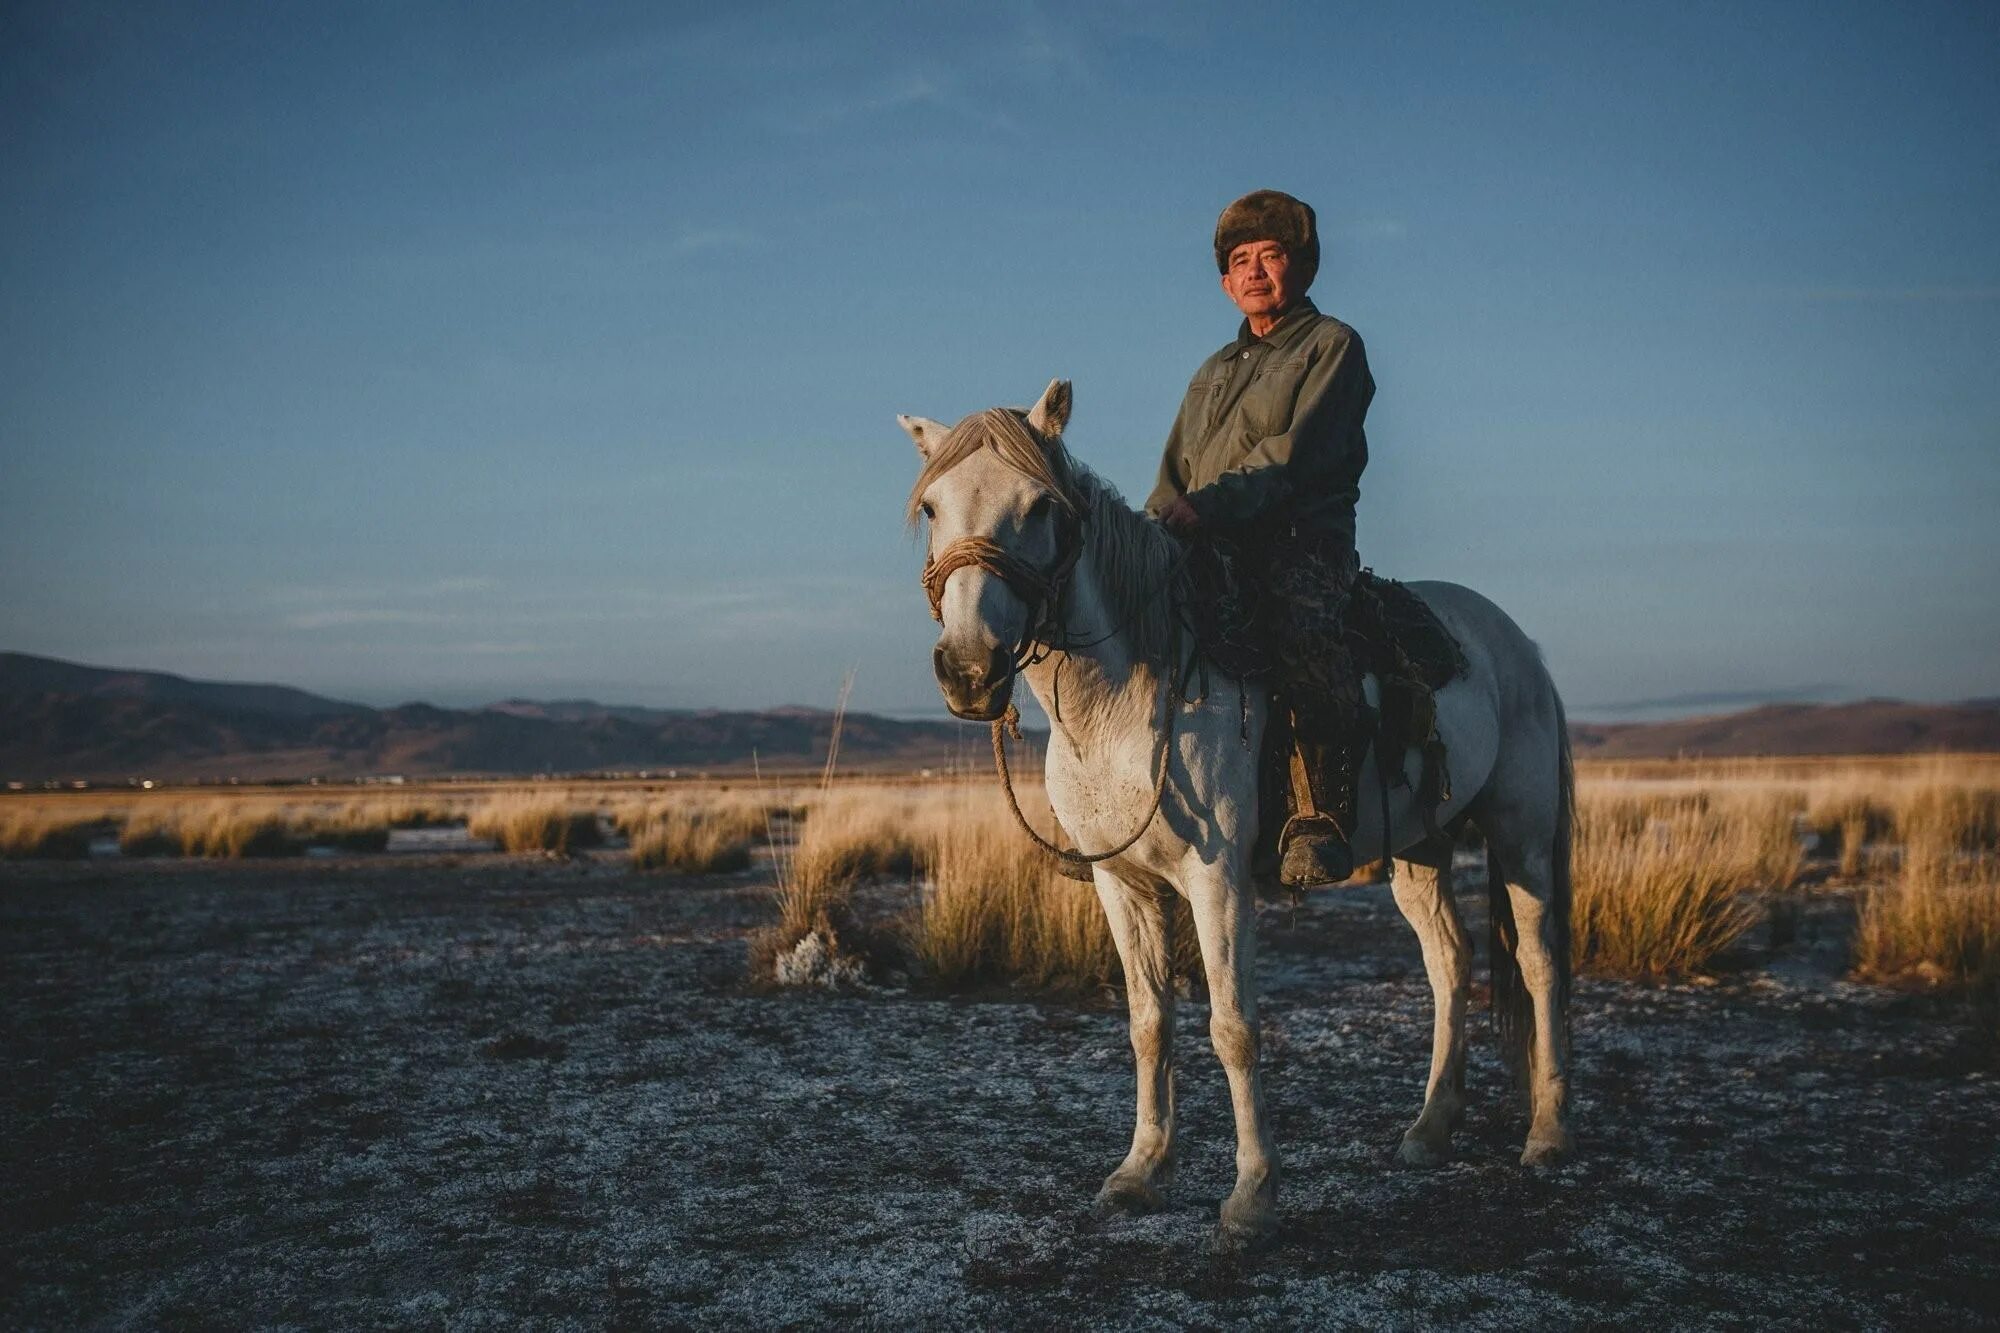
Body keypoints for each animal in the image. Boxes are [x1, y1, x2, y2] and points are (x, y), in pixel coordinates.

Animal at [900, 376, 1568, 1248]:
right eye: (933, 507)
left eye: (1040, 506)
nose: (971, 669)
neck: (1124, 699)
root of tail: (1520, 645)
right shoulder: (1122, 884)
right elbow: (1149, 1021)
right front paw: (1140, 1170)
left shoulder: (1218, 880)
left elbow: (1233, 1026)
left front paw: (1252, 1194)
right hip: (1420, 849)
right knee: (1450, 964)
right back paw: (1430, 1128)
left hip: (1522, 833)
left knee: (1540, 963)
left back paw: (1548, 1133)